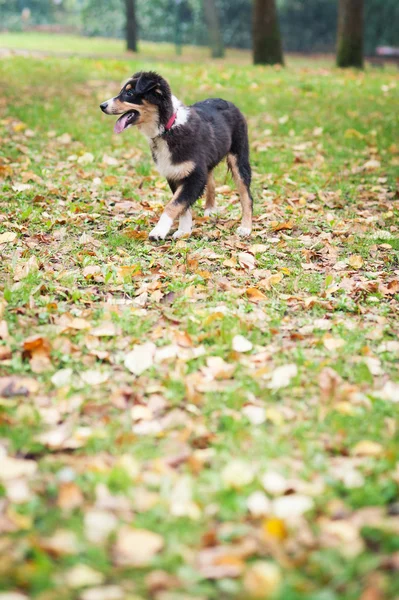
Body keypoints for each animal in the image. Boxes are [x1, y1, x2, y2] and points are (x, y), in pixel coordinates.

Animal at [101, 70, 255, 239]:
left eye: (129, 93)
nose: (102, 106)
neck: (167, 128)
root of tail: (229, 102)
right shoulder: (175, 172)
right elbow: (183, 206)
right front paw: (184, 231)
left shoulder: (194, 175)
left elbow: (174, 204)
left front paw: (159, 231)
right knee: (212, 182)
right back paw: (210, 209)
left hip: (238, 157)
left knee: (246, 195)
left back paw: (246, 227)